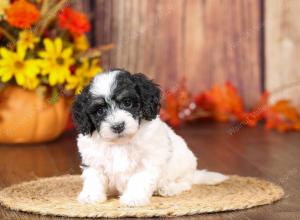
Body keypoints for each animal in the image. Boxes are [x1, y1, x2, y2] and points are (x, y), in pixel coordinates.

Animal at [72, 69, 227, 207]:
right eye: (100, 111)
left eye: (127, 103)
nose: (118, 126)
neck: (121, 142)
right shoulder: (93, 159)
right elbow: (93, 178)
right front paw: (90, 196)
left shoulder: (147, 160)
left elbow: (139, 180)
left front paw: (133, 198)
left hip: (184, 166)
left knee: (185, 183)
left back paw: (168, 188)